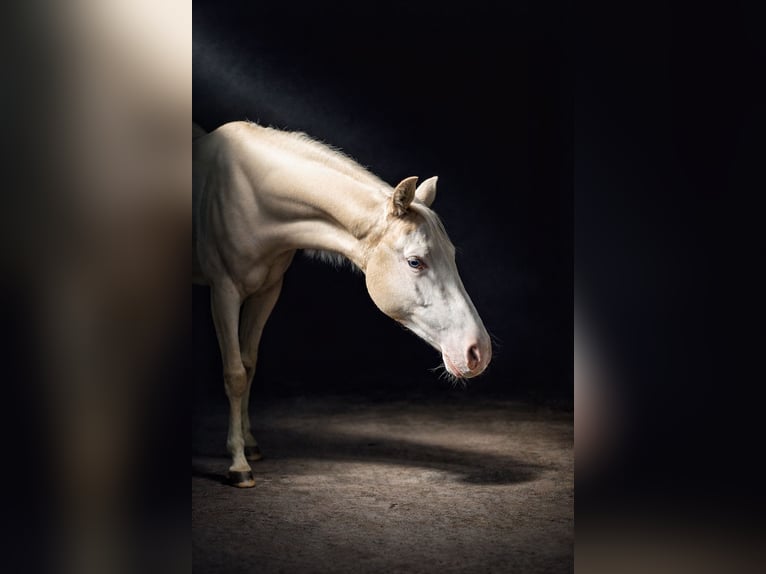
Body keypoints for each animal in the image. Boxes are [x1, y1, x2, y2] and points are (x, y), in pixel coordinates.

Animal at [193, 121, 492, 487]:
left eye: (451, 254)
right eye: (415, 262)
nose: (478, 351)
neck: (252, 196)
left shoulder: (266, 291)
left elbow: (248, 367)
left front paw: (249, 444)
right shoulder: (224, 291)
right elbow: (235, 374)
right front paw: (238, 464)